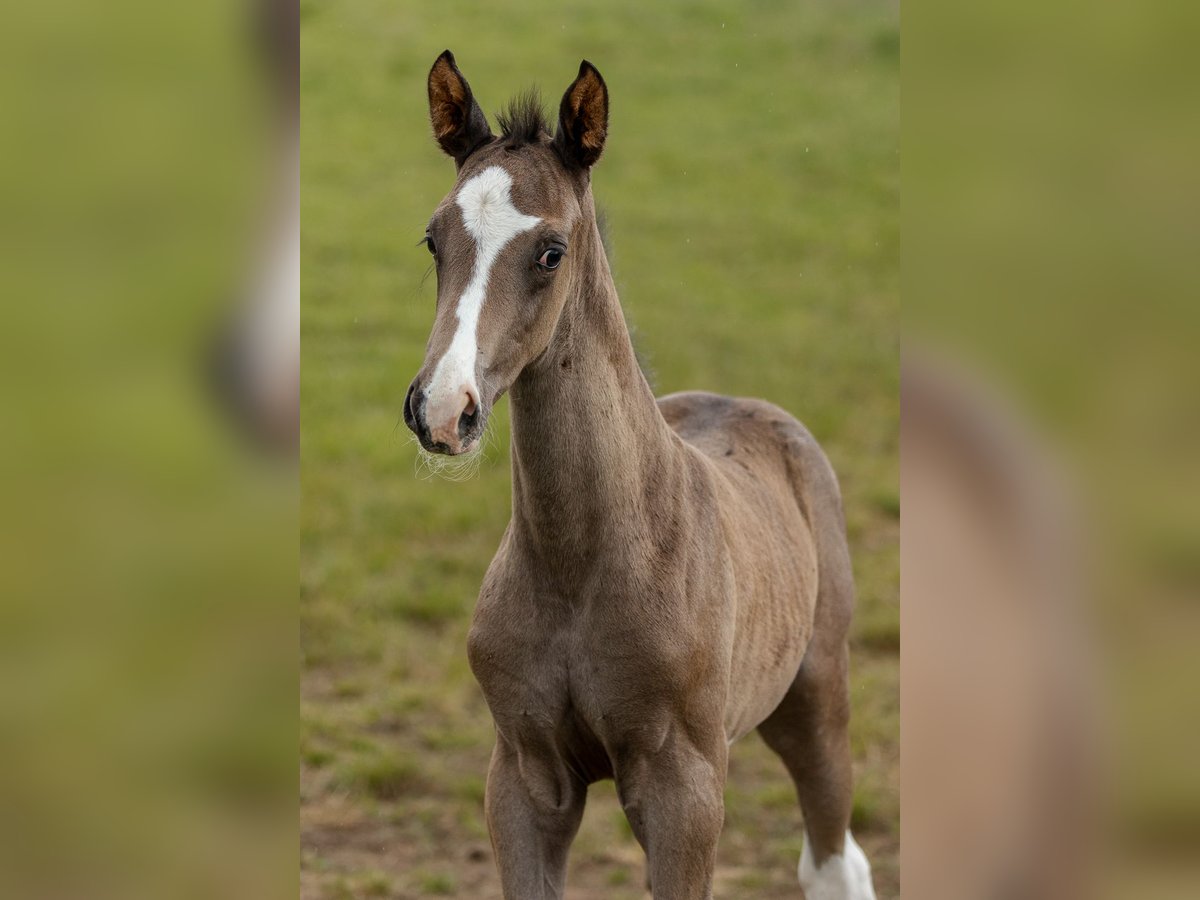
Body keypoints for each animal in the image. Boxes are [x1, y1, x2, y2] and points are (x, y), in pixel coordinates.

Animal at [405, 52, 883, 897]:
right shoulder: (523, 779)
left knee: (835, 862)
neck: (580, 563)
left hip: (817, 696)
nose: (441, 408)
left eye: (551, 251)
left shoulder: (682, 791)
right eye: (434, 241)